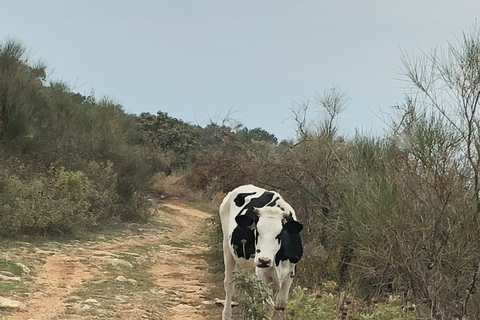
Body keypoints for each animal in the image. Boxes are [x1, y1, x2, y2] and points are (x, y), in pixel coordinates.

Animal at [218, 184, 304, 318]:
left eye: (280, 234)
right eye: (257, 231)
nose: (264, 260)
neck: (277, 261)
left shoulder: (290, 273)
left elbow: (280, 306)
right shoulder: (262, 274)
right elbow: (268, 305)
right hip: (228, 249)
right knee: (229, 284)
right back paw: (226, 315)